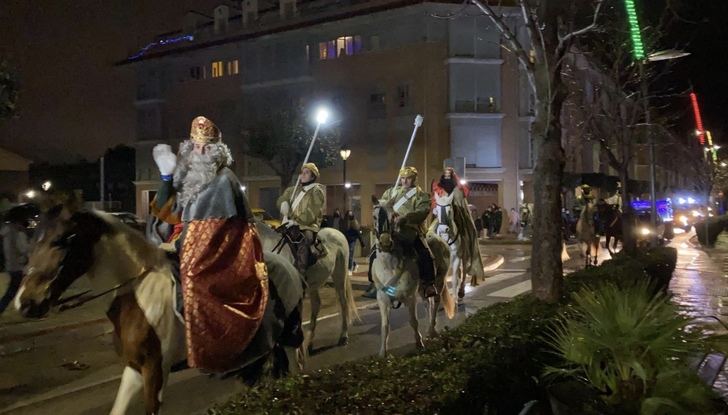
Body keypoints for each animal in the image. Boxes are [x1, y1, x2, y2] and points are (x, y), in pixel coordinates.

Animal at [14, 206, 304, 414]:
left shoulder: (155, 370)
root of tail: (290, 266)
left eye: (64, 240)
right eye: (34, 240)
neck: (138, 294)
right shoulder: (134, 369)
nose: (25, 302)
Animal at [256, 223, 358, 352]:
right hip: (313, 285)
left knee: (343, 302)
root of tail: (337, 232)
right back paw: (309, 343)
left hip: (340, 274)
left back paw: (343, 337)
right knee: (316, 304)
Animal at [372, 203, 452, 356]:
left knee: (435, 302)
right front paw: (382, 352)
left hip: (439, 281)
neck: (390, 266)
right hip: (423, 287)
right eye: (374, 216)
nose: (385, 242)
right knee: (428, 304)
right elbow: (385, 326)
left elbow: (413, 321)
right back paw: (430, 330)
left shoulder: (410, 297)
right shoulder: (383, 299)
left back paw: (432, 330)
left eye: (393, 216)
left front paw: (419, 343)